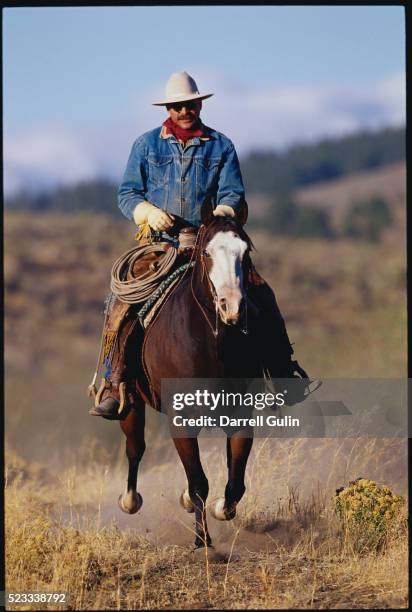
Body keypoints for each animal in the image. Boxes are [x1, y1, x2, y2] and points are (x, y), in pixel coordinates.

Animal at [116, 202, 276, 548]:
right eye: (207, 252)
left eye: (246, 252)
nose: (232, 308)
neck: (211, 341)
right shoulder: (180, 418)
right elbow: (199, 481)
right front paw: (203, 542)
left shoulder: (240, 414)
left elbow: (235, 480)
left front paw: (220, 510)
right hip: (130, 401)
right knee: (135, 448)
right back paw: (130, 500)